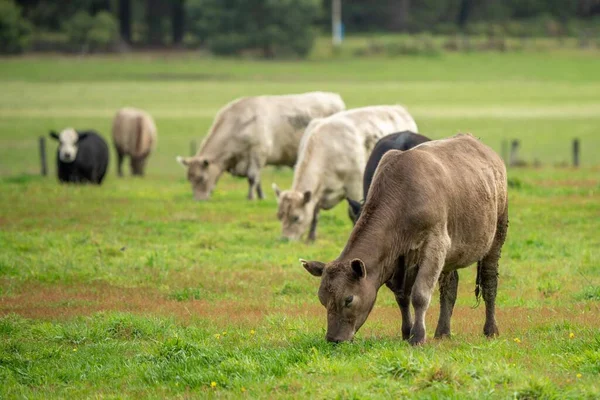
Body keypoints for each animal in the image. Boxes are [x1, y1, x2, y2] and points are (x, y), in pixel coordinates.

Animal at [300, 133, 506, 346]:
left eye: (349, 299)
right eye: (322, 299)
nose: (334, 339)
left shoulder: (435, 245)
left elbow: (419, 295)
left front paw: (418, 336)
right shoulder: (398, 260)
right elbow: (402, 297)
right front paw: (407, 331)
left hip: (497, 231)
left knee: (489, 280)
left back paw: (490, 329)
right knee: (449, 286)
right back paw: (443, 331)